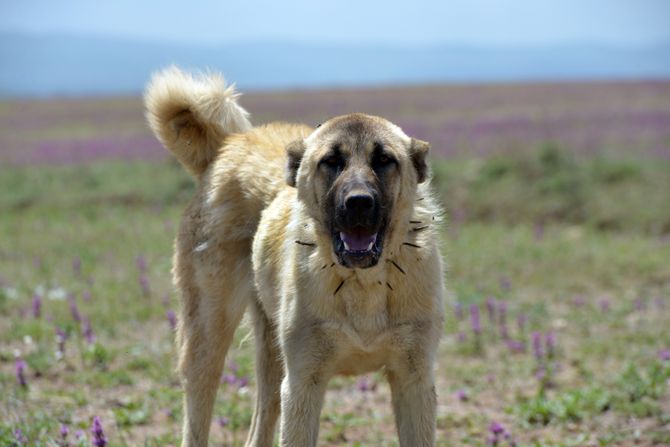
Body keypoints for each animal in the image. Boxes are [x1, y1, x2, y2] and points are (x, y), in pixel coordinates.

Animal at [148, 67, 452, 447]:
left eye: (384, 160)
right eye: (331, 162)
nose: (358, 202)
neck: (363, 283)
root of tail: (230, 142)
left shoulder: (414, 381)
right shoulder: (303, 383)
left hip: (270, 354)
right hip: (207, 339)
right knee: (198, 410)